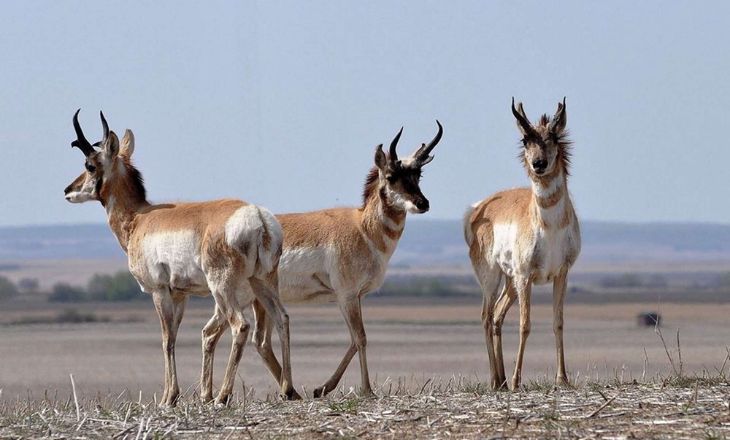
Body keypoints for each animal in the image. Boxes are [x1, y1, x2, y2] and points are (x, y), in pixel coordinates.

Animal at [62, 111, 296, 406]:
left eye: (90, 164)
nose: (67, 190)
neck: (140, 218)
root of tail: (257, 216)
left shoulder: (159, 291)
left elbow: (166, 340)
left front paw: (168, 397)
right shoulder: (181, 295)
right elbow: (174, 335)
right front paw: (174, 395)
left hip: (223, 288)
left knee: (240, 326)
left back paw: (222, 395)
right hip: (262, 282)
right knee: (283, 318)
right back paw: (287, 389)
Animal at [236, 122, 440, 398]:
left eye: (418, 175)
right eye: (390, 176)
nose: (423, 203)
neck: (362, 228)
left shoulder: (353, 297)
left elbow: (354, 339)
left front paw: (322, 388)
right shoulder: (347, 295)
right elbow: (361, 337)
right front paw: (367, 389)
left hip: (260, 300)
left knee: (261, 342)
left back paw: (292, 392)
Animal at [464, 99, 576, 388]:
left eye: (554, 136)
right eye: (526, 139)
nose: (539, 163)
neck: (550, 227)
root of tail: (478, 208)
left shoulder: (561, 274)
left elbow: (558, 322)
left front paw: (563, 378)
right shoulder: (526, 276)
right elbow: (525, 325)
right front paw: (517, 380)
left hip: (510, 282)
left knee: (497, 316)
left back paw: (502, 379)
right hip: (492, 279)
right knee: (486, 317)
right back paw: (497, 380)